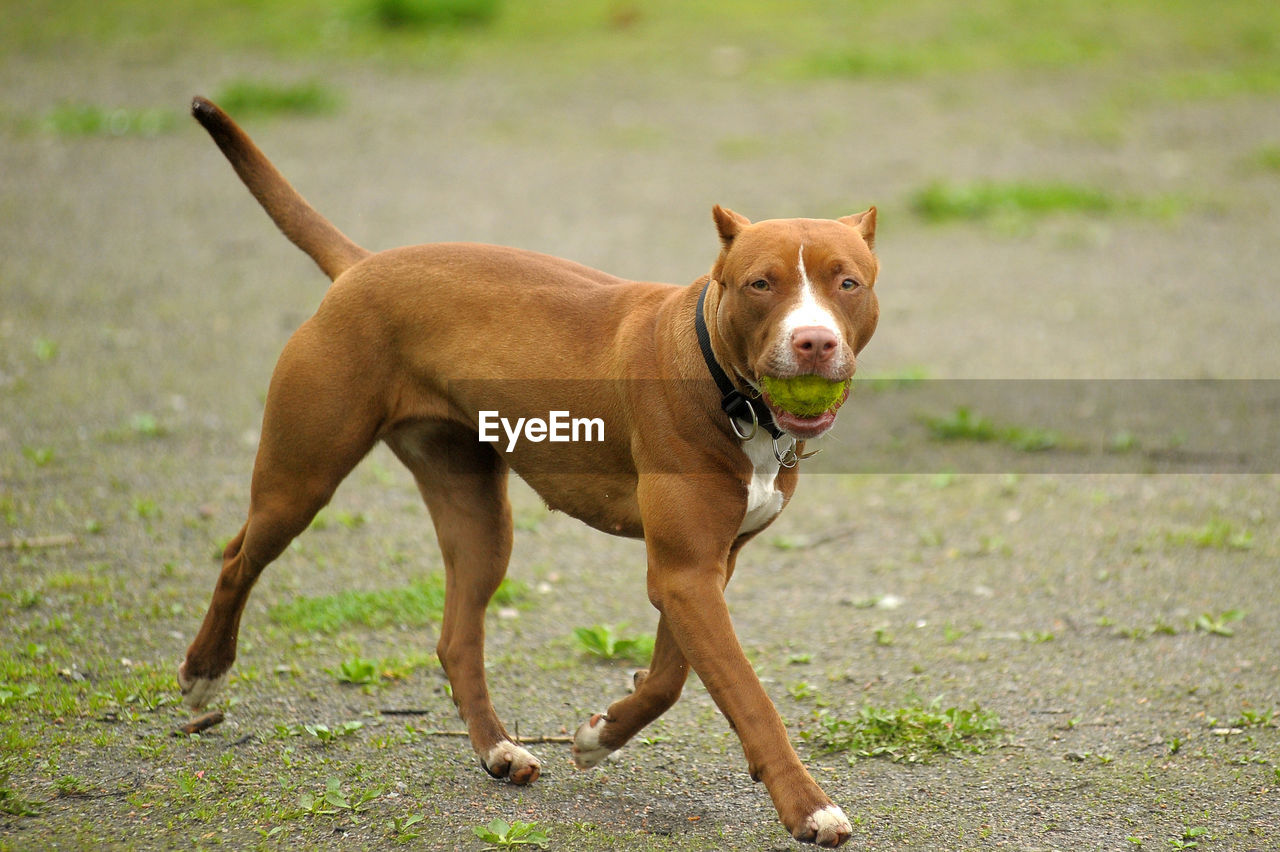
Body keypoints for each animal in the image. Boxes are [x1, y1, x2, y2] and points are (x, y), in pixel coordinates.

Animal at [183, 94, 880, 844]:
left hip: (478, 518)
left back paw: (499, 750)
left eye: (847, 282)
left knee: (457, 637)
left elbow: (671, 677)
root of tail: (361, 266)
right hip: (301, 478)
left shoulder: (702, 569)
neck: (729, 390)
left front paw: (602, 735)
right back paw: (203, 676)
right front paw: (808, 806)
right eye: (760, 284)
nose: (814, 342)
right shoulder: (686, 573)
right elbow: (748, 697)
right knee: (238, 558)